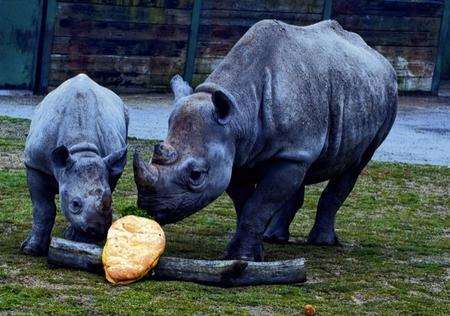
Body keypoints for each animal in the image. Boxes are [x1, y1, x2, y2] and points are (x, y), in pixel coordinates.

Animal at [22, 73, 128, 256]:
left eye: (110, 201)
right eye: (75, 204)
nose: (98, 231)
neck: (81, 149)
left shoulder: (111, 167)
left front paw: (79, 240)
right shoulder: (35, 165)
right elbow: (43, 209)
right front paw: (31, 249)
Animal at [134, 20, 398, 262]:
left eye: (196, 175)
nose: (151, 206)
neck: (238, 115)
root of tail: (378, 55)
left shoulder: (282, 151)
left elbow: (258, 205)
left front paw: (242, 257)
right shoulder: (237, 152)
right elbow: (246, 203)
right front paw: (253, 250)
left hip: (387, 98)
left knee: (355, 165)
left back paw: (321, 243)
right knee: (305, 171)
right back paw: (274, 237)